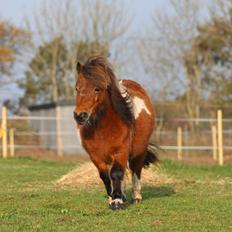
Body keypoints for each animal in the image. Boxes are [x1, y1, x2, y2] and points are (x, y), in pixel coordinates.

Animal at [74, 56, 158, 210]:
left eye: (97, 89)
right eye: (77, 88)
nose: (80, 115)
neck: (103, 129)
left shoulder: (121, 151)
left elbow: (117, 173)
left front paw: (117, 201)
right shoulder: (96, 157)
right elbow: (106, 176)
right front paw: (113, 197)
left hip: (139, 151)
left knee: (136, 170)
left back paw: (136, 197)